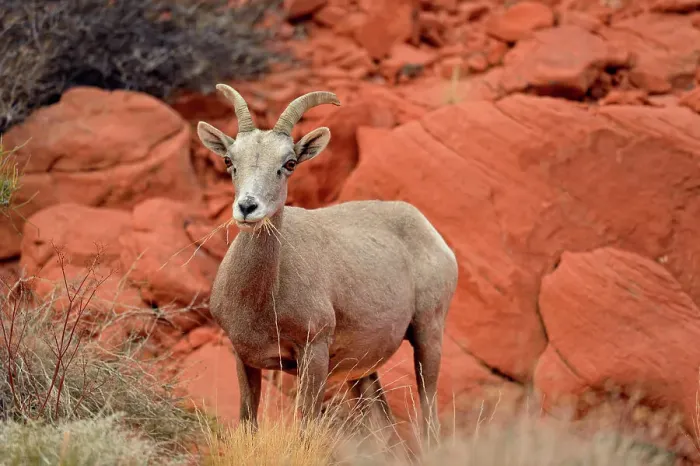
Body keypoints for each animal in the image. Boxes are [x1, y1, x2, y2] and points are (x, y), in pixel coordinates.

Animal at [196, 84, 459, 444]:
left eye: (289, 163)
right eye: (229, 161)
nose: (248, 207)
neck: (260, 300)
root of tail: (432, 234)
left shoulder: (314, 353)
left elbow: (306, 428)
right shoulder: (244, 357)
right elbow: (248, 421)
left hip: (427, 335)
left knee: (428, 415)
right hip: (362, 372)